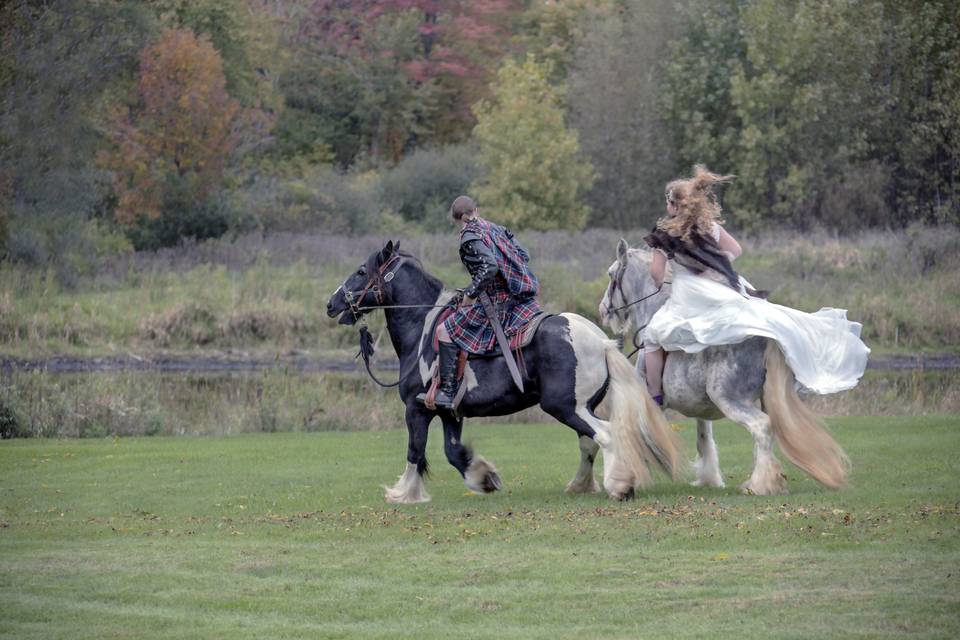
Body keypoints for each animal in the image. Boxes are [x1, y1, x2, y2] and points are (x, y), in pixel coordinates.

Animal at [326, 242, 680, 502]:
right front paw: (484, 478)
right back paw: (581, 484)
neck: (423, 328)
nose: (332, 304)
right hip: (582, 406)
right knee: (589, 442)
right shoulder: (450, 412)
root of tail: (601, 341)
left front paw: (403, 493)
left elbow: (416, 450)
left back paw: (619, 484)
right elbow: (452, 451)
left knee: (605, 435)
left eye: (361, 271)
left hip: (566, 407)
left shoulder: (416, 409)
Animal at [588, 240, 852, 496]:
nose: (602, 309)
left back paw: (761, 485)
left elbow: (637, 435)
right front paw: (708, 479)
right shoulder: (700, 411)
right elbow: (704, 440)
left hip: (730, 400)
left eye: (611, 274)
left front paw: (625, 478)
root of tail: (765, 337)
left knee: (762, 428)